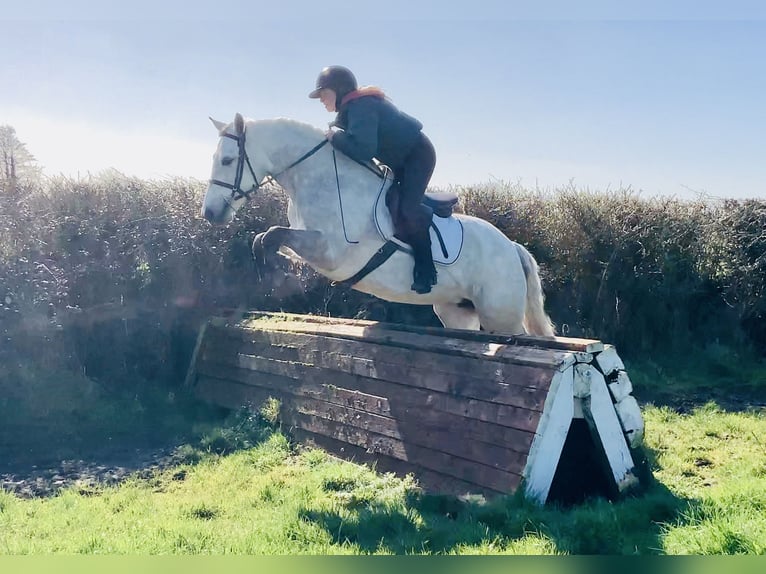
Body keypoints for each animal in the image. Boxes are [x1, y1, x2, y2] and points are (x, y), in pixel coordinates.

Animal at [201, 113, 555, 336]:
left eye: (228, 160)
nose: (210, 213)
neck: (321, 178)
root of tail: (511, 247)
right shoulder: (310, 246)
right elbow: (266, 239)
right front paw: (275, 274)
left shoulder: (331, 252)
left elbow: (273, 235)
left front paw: (273, 275)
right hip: (457, 311)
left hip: (500, 313)